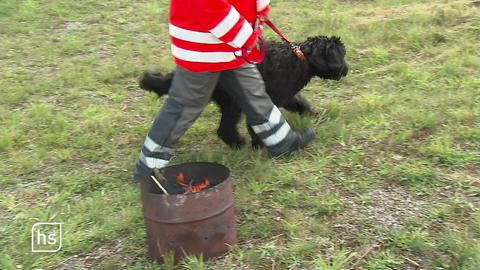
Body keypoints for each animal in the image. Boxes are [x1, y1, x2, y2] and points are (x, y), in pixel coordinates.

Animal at [141, 35, 346, 148]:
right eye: (340, 54)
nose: (346, 69)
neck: (300, 58)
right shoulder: (268, 97)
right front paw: (259, 143)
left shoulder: (284, 95)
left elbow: (299, 103)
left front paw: (312, 114)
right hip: (232, 103)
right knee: (225, 129)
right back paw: (239, 144)